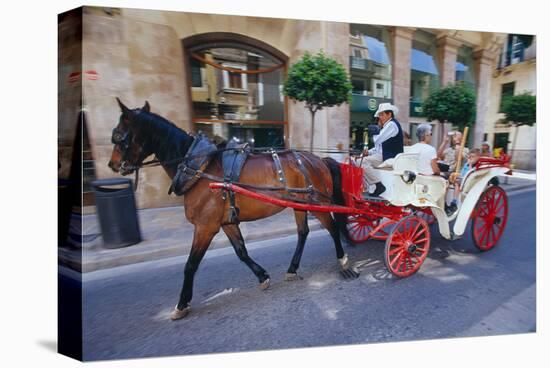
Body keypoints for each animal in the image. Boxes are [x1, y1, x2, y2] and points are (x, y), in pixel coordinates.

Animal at [108, 99, 350, 320]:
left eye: (119, 136)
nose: (112, 164)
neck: (199, 168)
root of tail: (318, 159)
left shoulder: (205, 227)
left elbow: (191, 264)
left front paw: (182, 303)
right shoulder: (226, 222)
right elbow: (241, 251)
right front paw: (262, 276)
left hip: (317, 203)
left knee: (332, 228)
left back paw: (343, 261)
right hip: (299, 204)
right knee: (303, 232)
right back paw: (293, 268)